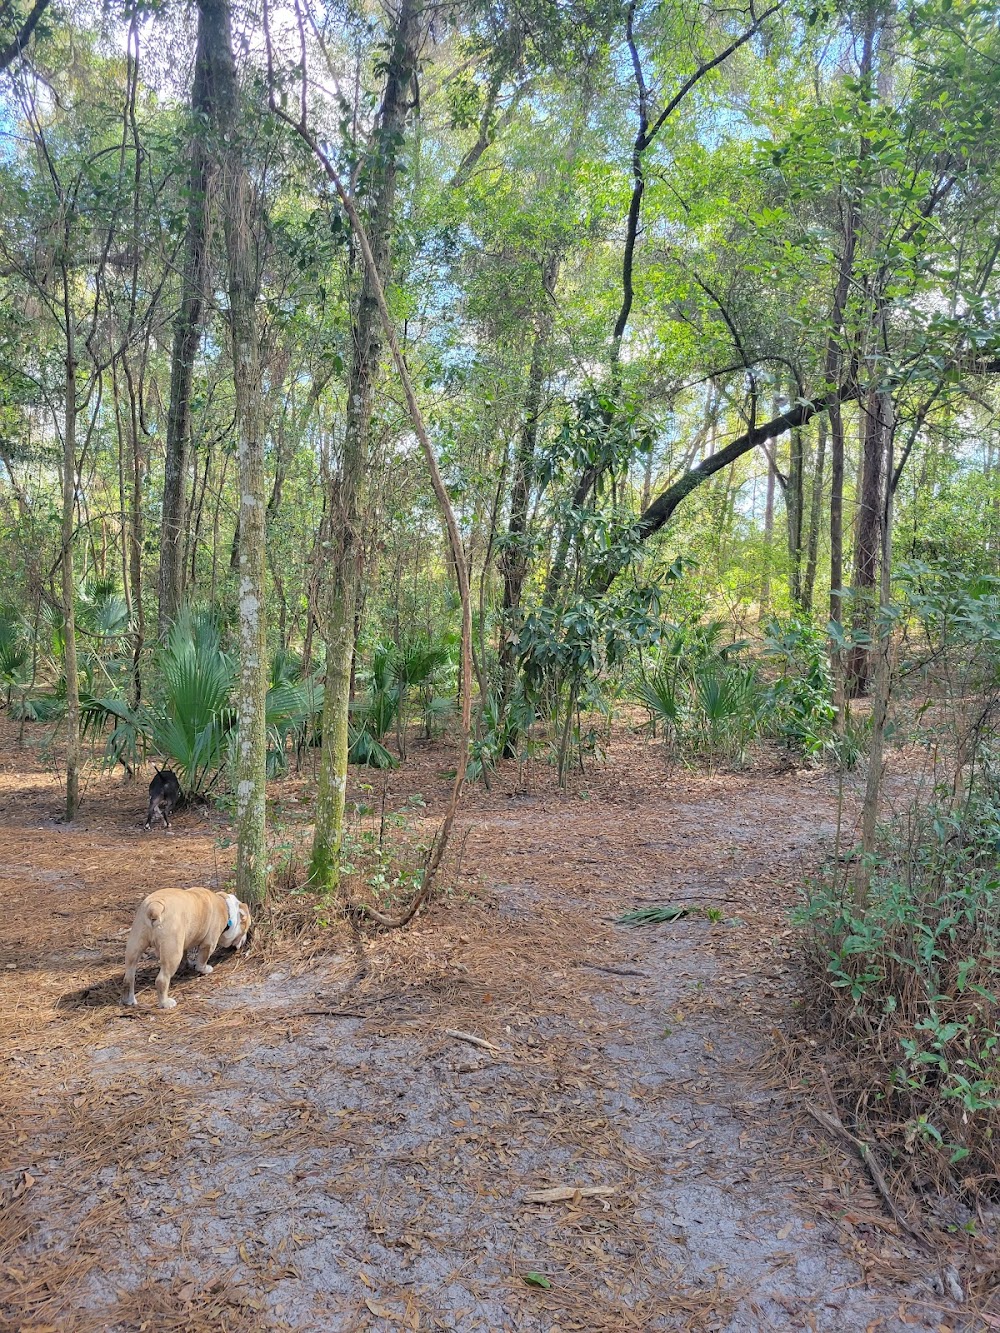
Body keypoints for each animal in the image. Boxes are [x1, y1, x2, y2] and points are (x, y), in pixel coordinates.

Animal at [120, 885, 250, 1007]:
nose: (246, 939)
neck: (225, 907)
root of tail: (155, 906)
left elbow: (185, 955)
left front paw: (188, 964)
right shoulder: (209, 944)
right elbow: (202, 961)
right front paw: (204, 969)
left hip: (134, 945)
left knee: (129, 977)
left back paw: (129, 1000)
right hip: (172, 953)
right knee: (162, 980)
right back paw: (165, 1003)